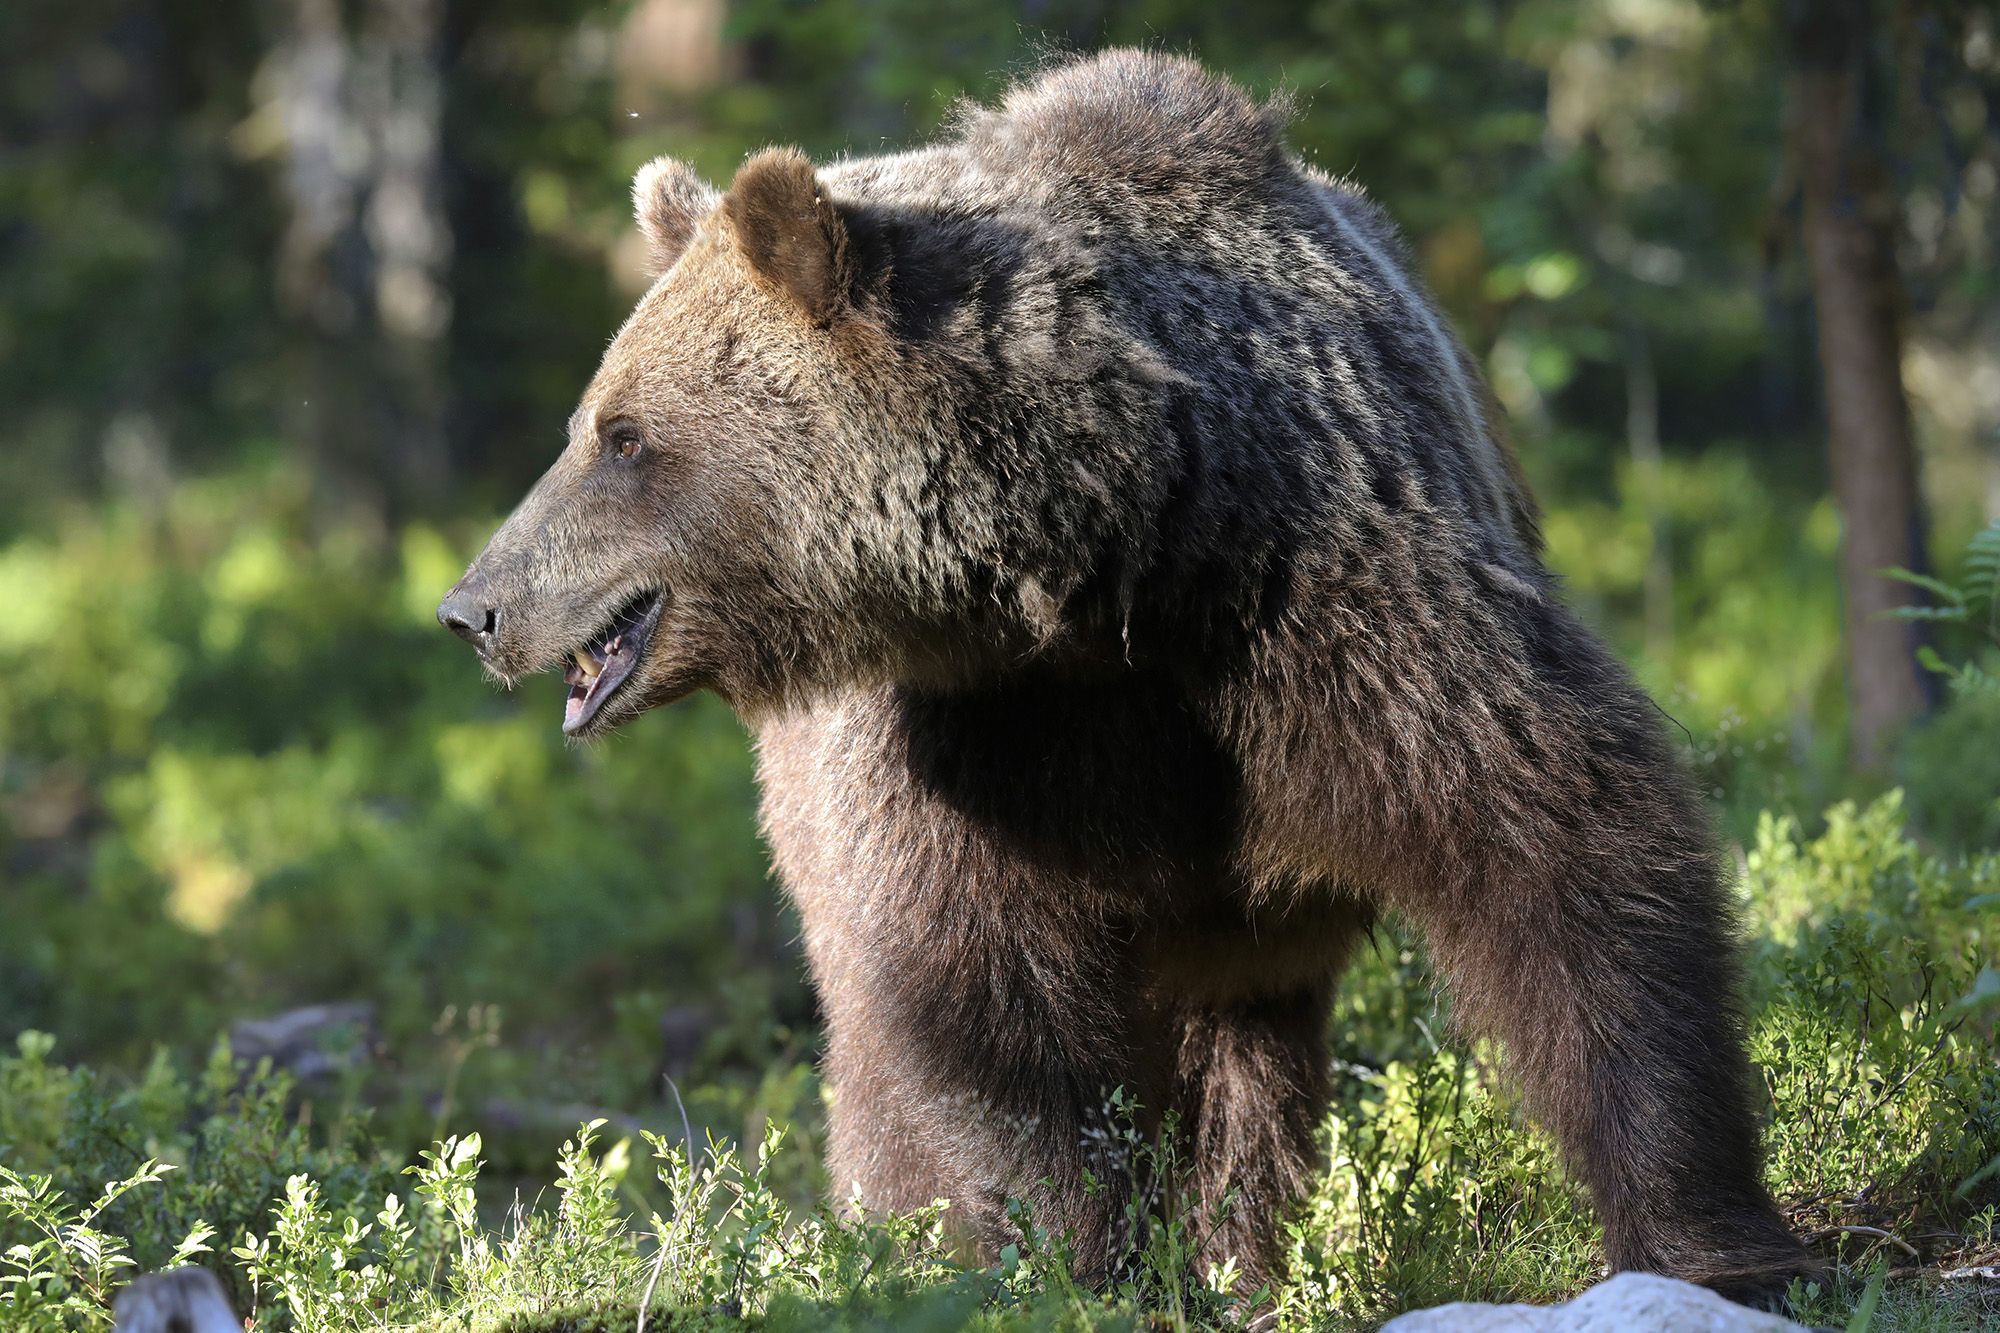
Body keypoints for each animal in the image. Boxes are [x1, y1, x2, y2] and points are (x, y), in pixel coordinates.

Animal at [439, 49, 1816, 1304]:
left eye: (621, 437)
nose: (472, 607)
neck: (1100, 568)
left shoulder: (1335, 605)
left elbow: (1562, 849)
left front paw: (1710, 1240)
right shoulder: (955, 746)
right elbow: (968, 1004)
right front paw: (1067, 1261)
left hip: (1243, 926)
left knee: (1244, 1062)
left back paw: (1236, 1256)